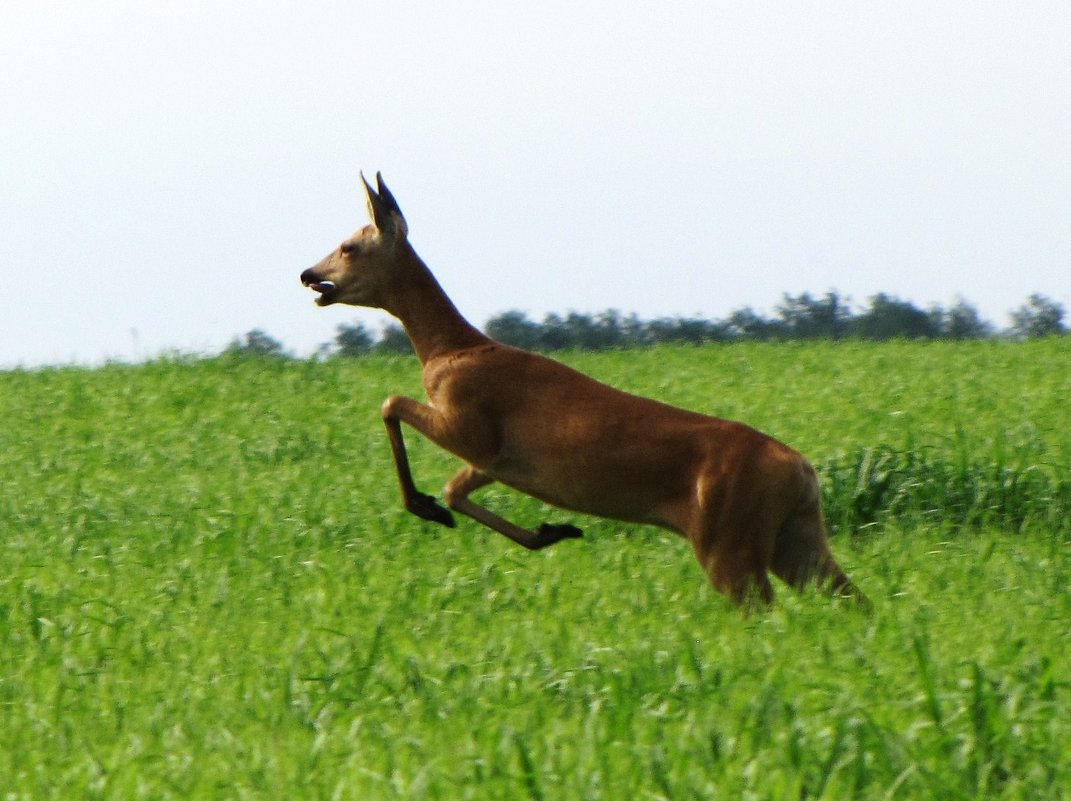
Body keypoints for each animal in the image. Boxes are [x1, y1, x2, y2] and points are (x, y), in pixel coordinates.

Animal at [297, 170, 865, 608]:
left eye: (348, 246)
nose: (308, 274)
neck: (448, 351)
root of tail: (803, 469)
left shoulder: (470, 423)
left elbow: (390, 403)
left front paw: (424, 505)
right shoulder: (495, 460)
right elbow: (458, 489)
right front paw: (550, 532)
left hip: (729, 539)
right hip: (796, 537)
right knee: (854, 599)